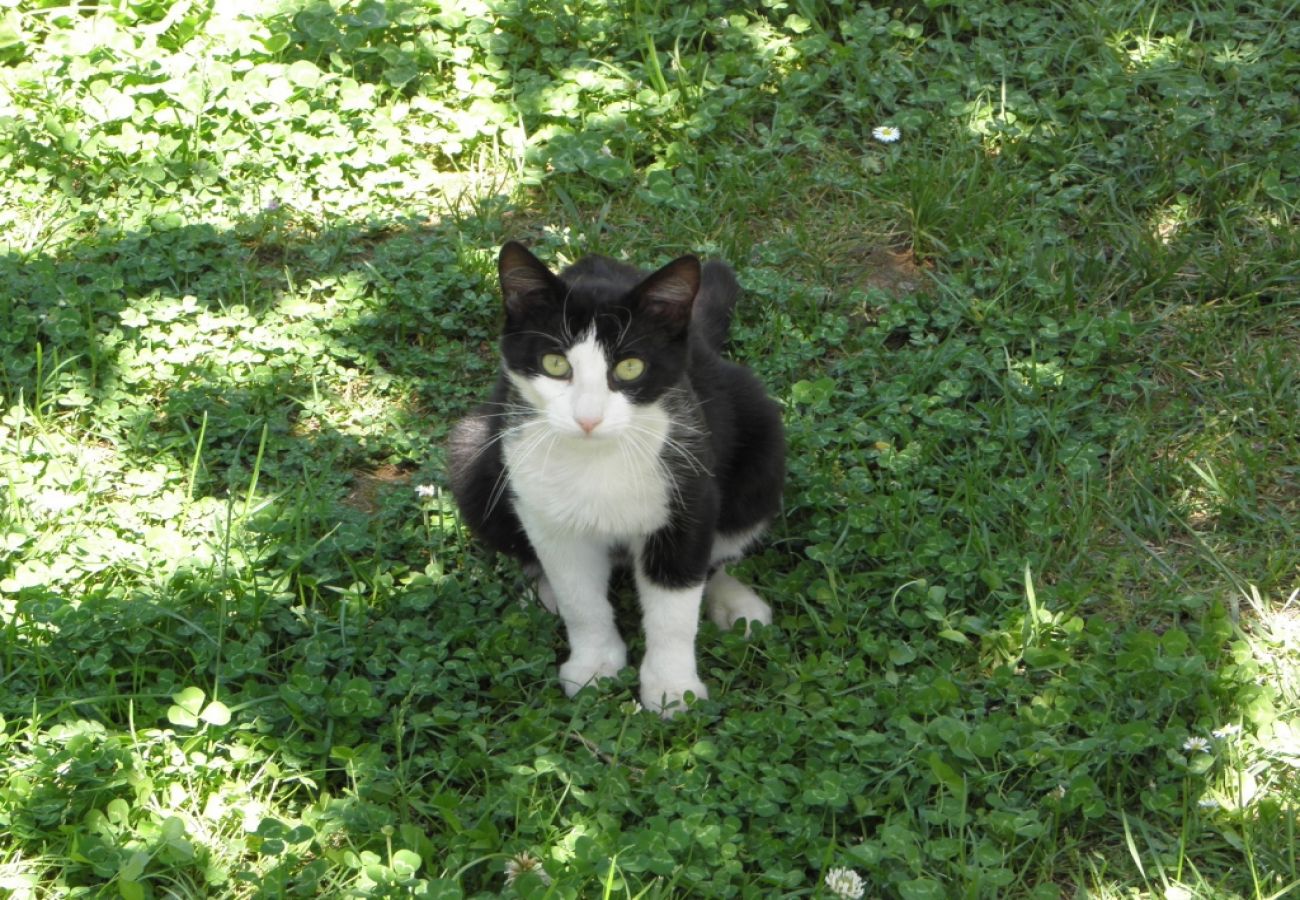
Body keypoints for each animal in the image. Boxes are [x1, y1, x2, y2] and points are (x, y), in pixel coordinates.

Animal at [449, 240, 780, 717]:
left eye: (629, 368)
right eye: (555, 363)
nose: (588, 418)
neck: (598, 457)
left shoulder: (689, 488)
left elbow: (675, 601)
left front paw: (672, 686)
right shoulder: (541, 502)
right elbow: (580, 597)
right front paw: (594, 665)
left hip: (762, 440)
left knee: (717, 549)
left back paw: (735, 602)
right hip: (475, 450)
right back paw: (544, 591)